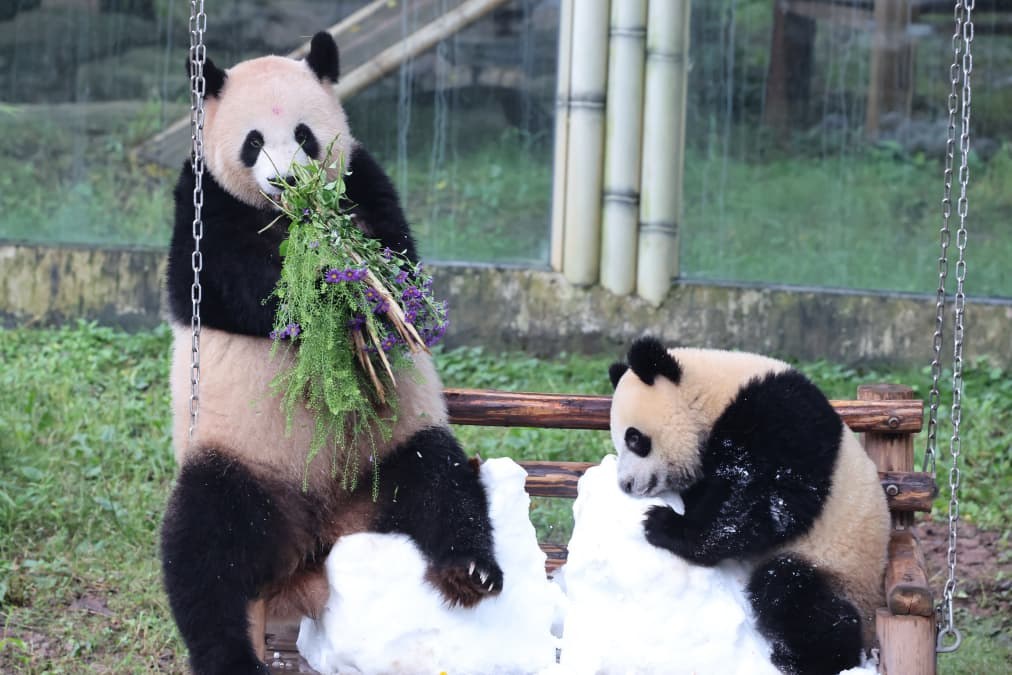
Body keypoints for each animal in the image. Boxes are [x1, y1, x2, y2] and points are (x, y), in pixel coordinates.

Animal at [161, 32, 503, 675]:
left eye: (303, 135)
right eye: (252, 142)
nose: (289, 182)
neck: (289, 216)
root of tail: (318, 540)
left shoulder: (363, 177)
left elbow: (397, 250)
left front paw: (366, 287)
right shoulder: (201, 202)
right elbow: (237, 288)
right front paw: (328, 290)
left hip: (390, 447)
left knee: (440, 486)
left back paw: (471, 571)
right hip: (242, 460)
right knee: (206, 552)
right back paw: (230, 654)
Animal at [607, 337, 890, 675]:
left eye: (635, 439)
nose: (626, 484)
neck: (712, 394)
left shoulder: (777, 416)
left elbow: (764, 503)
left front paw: (664, 524)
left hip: (839, 566)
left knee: (790, 591)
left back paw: (806, 659)